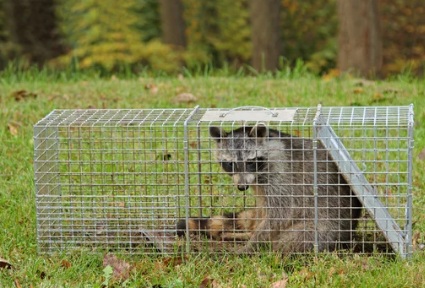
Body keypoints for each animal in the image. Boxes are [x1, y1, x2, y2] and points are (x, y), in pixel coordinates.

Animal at [176, 124, 362, 254]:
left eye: (250, 162)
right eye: (230, 164)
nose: (242, 187)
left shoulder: (282, 175)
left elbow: (281, 214)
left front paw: (252, 245)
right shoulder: (258, 187)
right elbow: (262, 212)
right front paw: (250, 235)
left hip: (327, 227)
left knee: (293, 240)